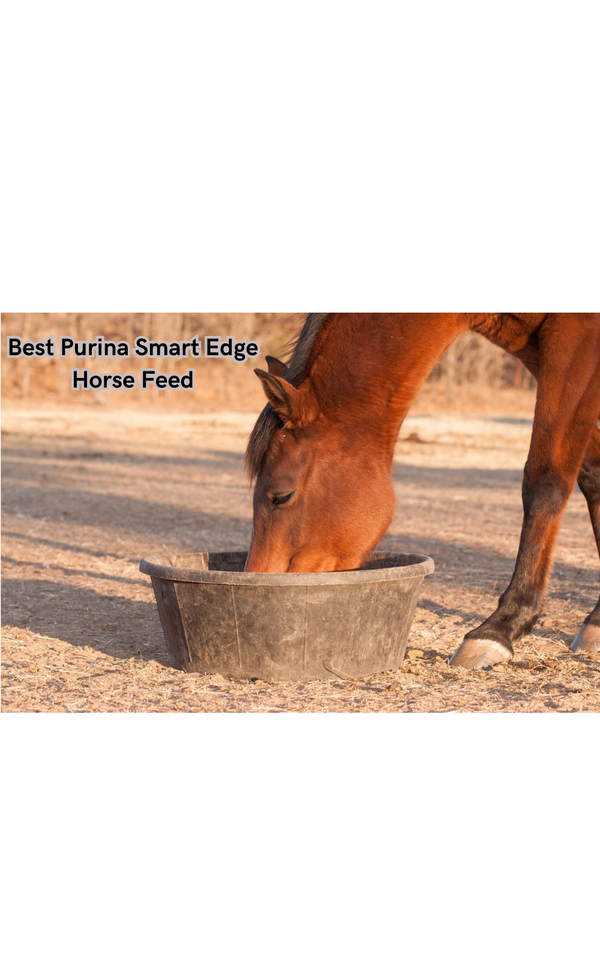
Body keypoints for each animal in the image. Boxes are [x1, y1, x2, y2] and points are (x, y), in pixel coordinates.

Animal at [245, 314, 600, 669]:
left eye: (280, 496)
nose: (259, 579)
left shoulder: (575, 341)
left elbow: (545, 482)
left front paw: (500, 626)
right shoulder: (541, 353)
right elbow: (592, 476)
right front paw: (596, 621)